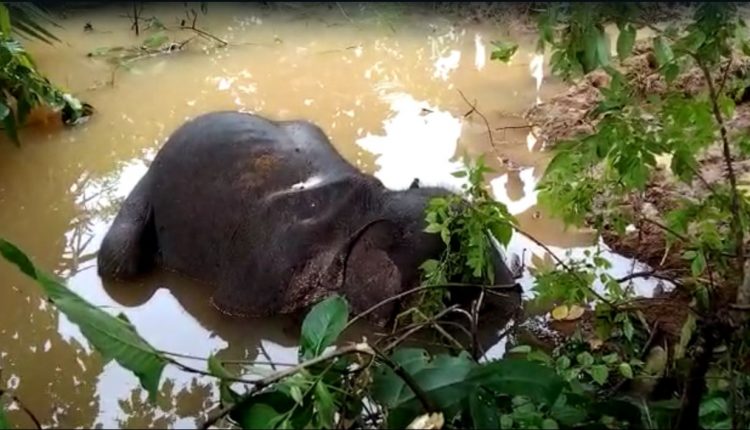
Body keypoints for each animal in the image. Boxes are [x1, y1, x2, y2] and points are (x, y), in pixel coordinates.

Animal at [97, 111, 520, 326]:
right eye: (455, 267)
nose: (514, 294)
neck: (372, 205)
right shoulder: (260, 278)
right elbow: (228, 309)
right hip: (141, 202)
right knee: (116, 262)